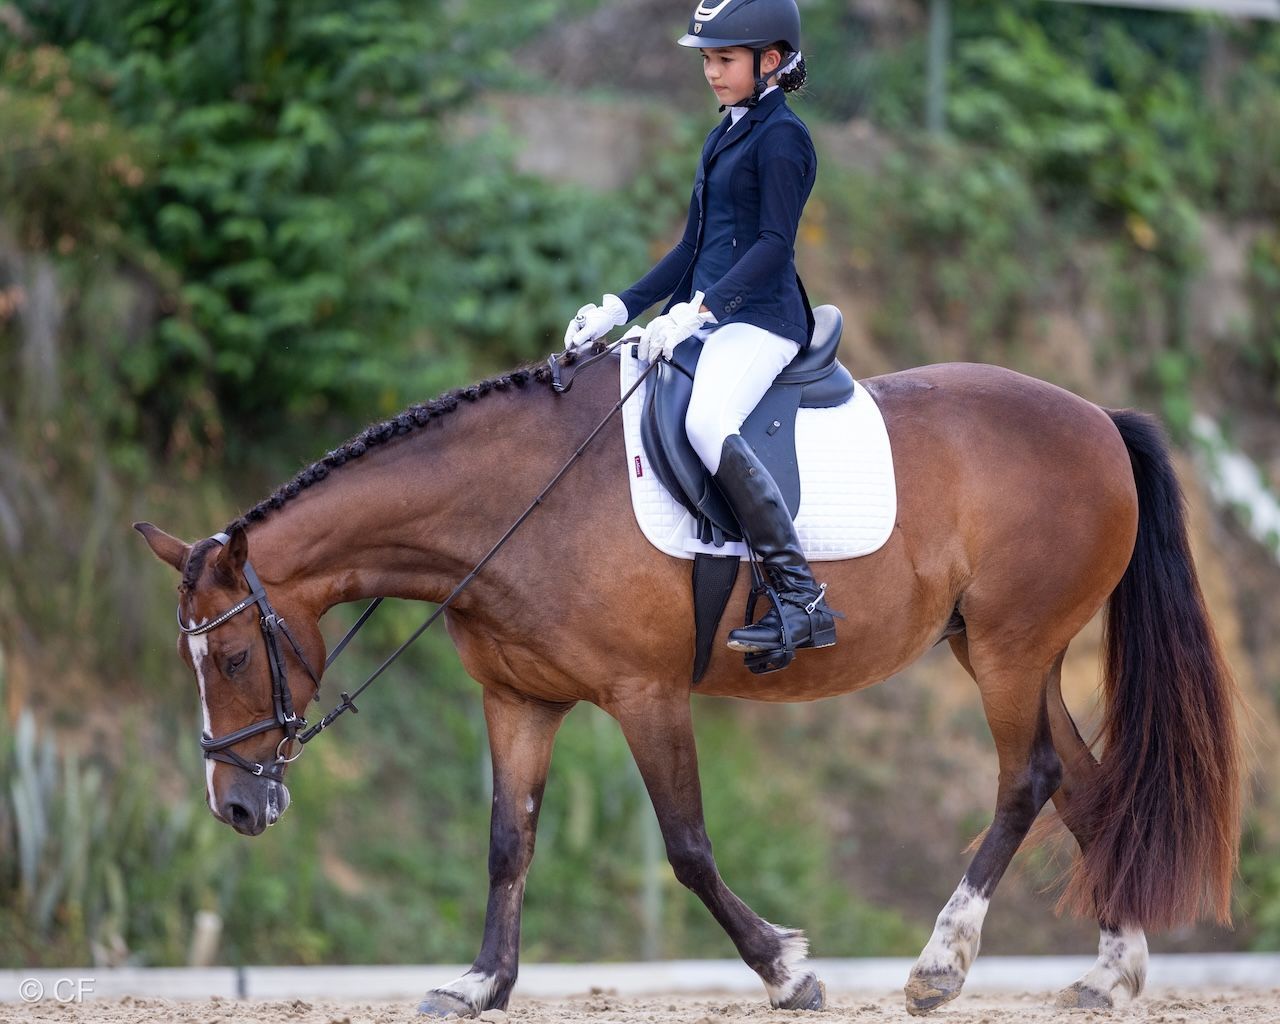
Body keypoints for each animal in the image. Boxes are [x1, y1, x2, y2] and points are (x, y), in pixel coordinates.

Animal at [136, 353, 1240, 1018]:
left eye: (230, 659)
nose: (236, 808)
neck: (509, 505)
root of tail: (1094, 417)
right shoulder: (518, 700)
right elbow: (507, 843)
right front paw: (482, 982)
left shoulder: (646, 695)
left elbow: (686, 846)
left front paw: (786, 968)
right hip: (1002, 649)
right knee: (1085, 784)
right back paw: (1108, 975)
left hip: (1012, 649)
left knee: (1028, 779)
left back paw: (940, 964)